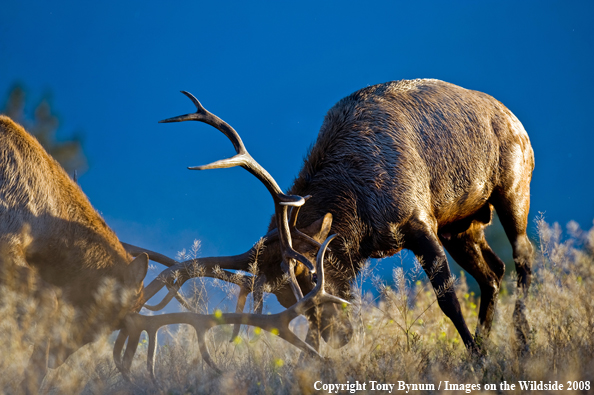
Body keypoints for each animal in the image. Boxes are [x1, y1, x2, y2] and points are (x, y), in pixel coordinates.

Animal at [125, 79, 532, 368]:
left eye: (309, 277)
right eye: (282, 296)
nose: (341, 335)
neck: (359, 208)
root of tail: (514, 117)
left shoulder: (419, 222)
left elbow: (448, 299)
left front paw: (476, 362)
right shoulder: (433, 227)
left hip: (513, 189)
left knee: (523, 258)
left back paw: (521, 342)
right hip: (462, 224)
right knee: (492, 273)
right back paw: (490, 338)